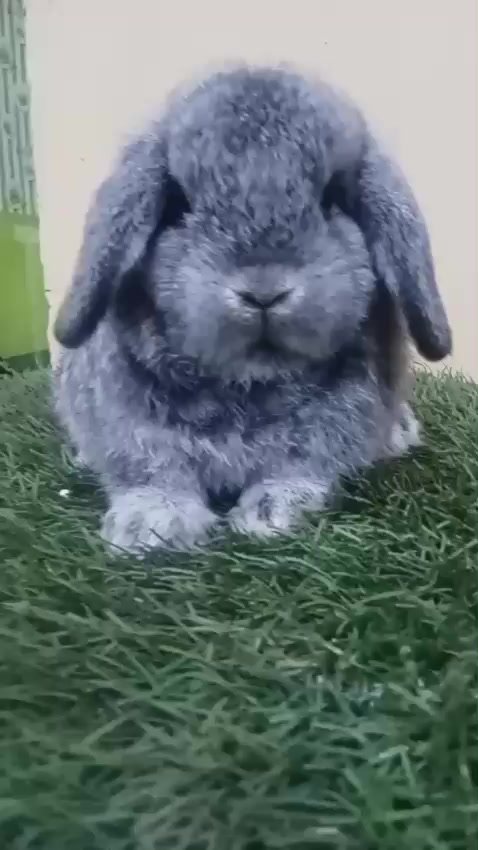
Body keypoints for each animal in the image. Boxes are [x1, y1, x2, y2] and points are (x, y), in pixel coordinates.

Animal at [52, 64, 451, 554]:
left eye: (332, 200)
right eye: (178, 204)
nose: (264, 291)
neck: (249, 380)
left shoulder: (331, 432)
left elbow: (297, 468)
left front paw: (271, 513)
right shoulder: (129, 431)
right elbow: (154, 472)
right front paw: (150, 528)